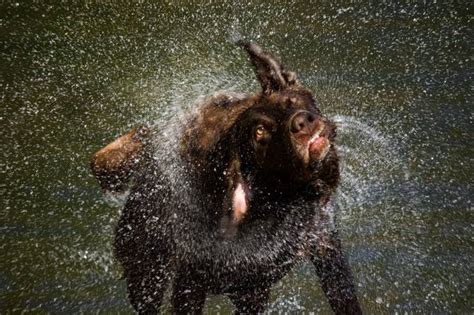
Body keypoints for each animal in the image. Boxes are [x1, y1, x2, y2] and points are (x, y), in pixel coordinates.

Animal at [90, 42, 362, 315]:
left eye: (292, 102)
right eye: (259, 132)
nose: (302, 122)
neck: (278, 203)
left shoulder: (322, 245)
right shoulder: (189, 282)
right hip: (146, 271)